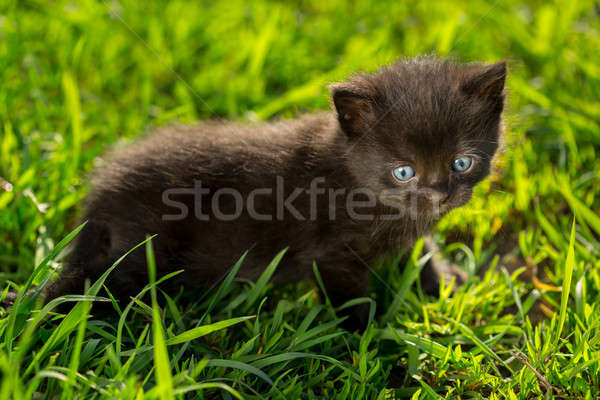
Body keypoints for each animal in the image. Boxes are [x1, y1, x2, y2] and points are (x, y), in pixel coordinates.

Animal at [43, 57, 506, 330]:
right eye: (404, 171)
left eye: (461, 163)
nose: (439, 194)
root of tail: (102, 191)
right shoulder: (332, 256)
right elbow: (352, 303)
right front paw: (372, 345)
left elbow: (420, 250)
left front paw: (446, 284)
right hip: (141, 253)